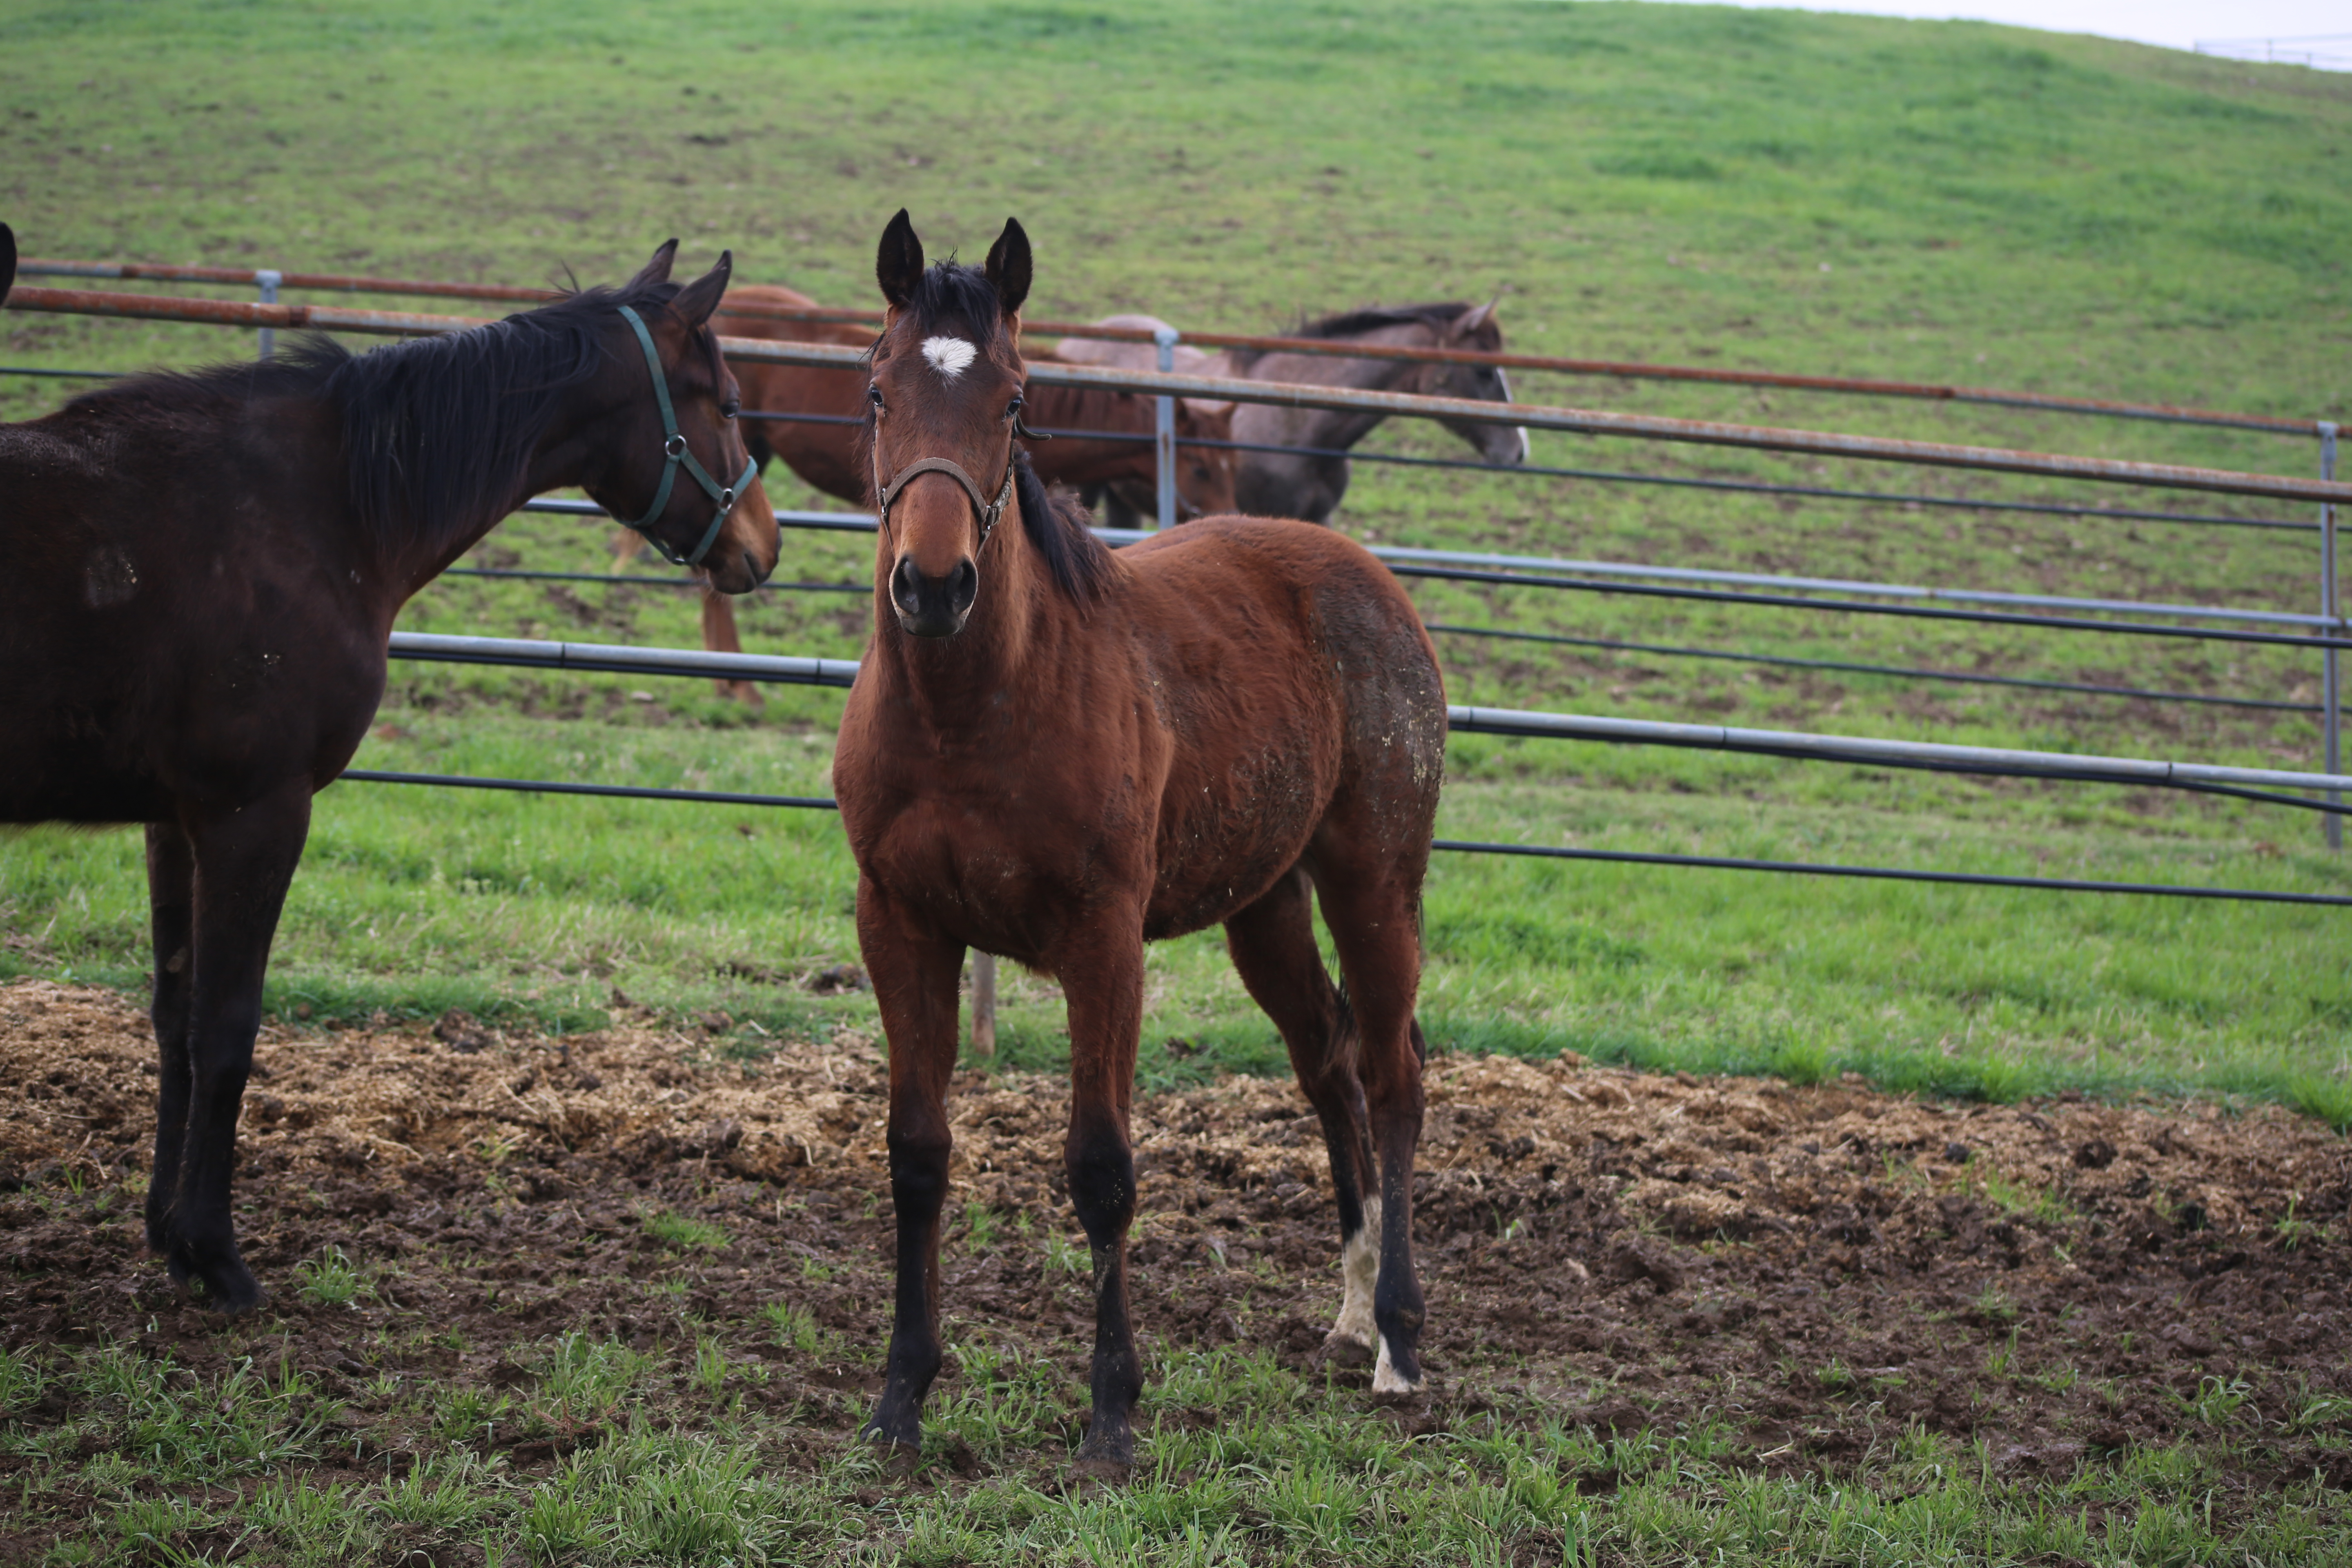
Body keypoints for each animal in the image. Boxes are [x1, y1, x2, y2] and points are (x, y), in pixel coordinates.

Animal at [0, 236, 781, 1316]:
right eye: (726, 399)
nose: (764, 543)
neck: (319, 506)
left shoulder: (176, 820)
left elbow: (172, 1016)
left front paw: (166, 1234)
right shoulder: (254, 814)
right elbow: (228, 1029)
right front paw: (215, 1252)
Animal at [828, 215, 1449, 1476]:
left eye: (1017, 401)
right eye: (876, 390)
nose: (931, 584)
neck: (971, 711)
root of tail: (1367, 577)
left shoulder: (1102, 940)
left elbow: (1102, 1169)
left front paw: (1112, 1413)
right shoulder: (898, 925)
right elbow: (916, 1155)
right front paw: (900, 1399)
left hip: (1373, 882)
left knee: (1391, 1072)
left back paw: (1397, 1341)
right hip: (1265, 904)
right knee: (1329, 1062)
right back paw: (1349, 1306)